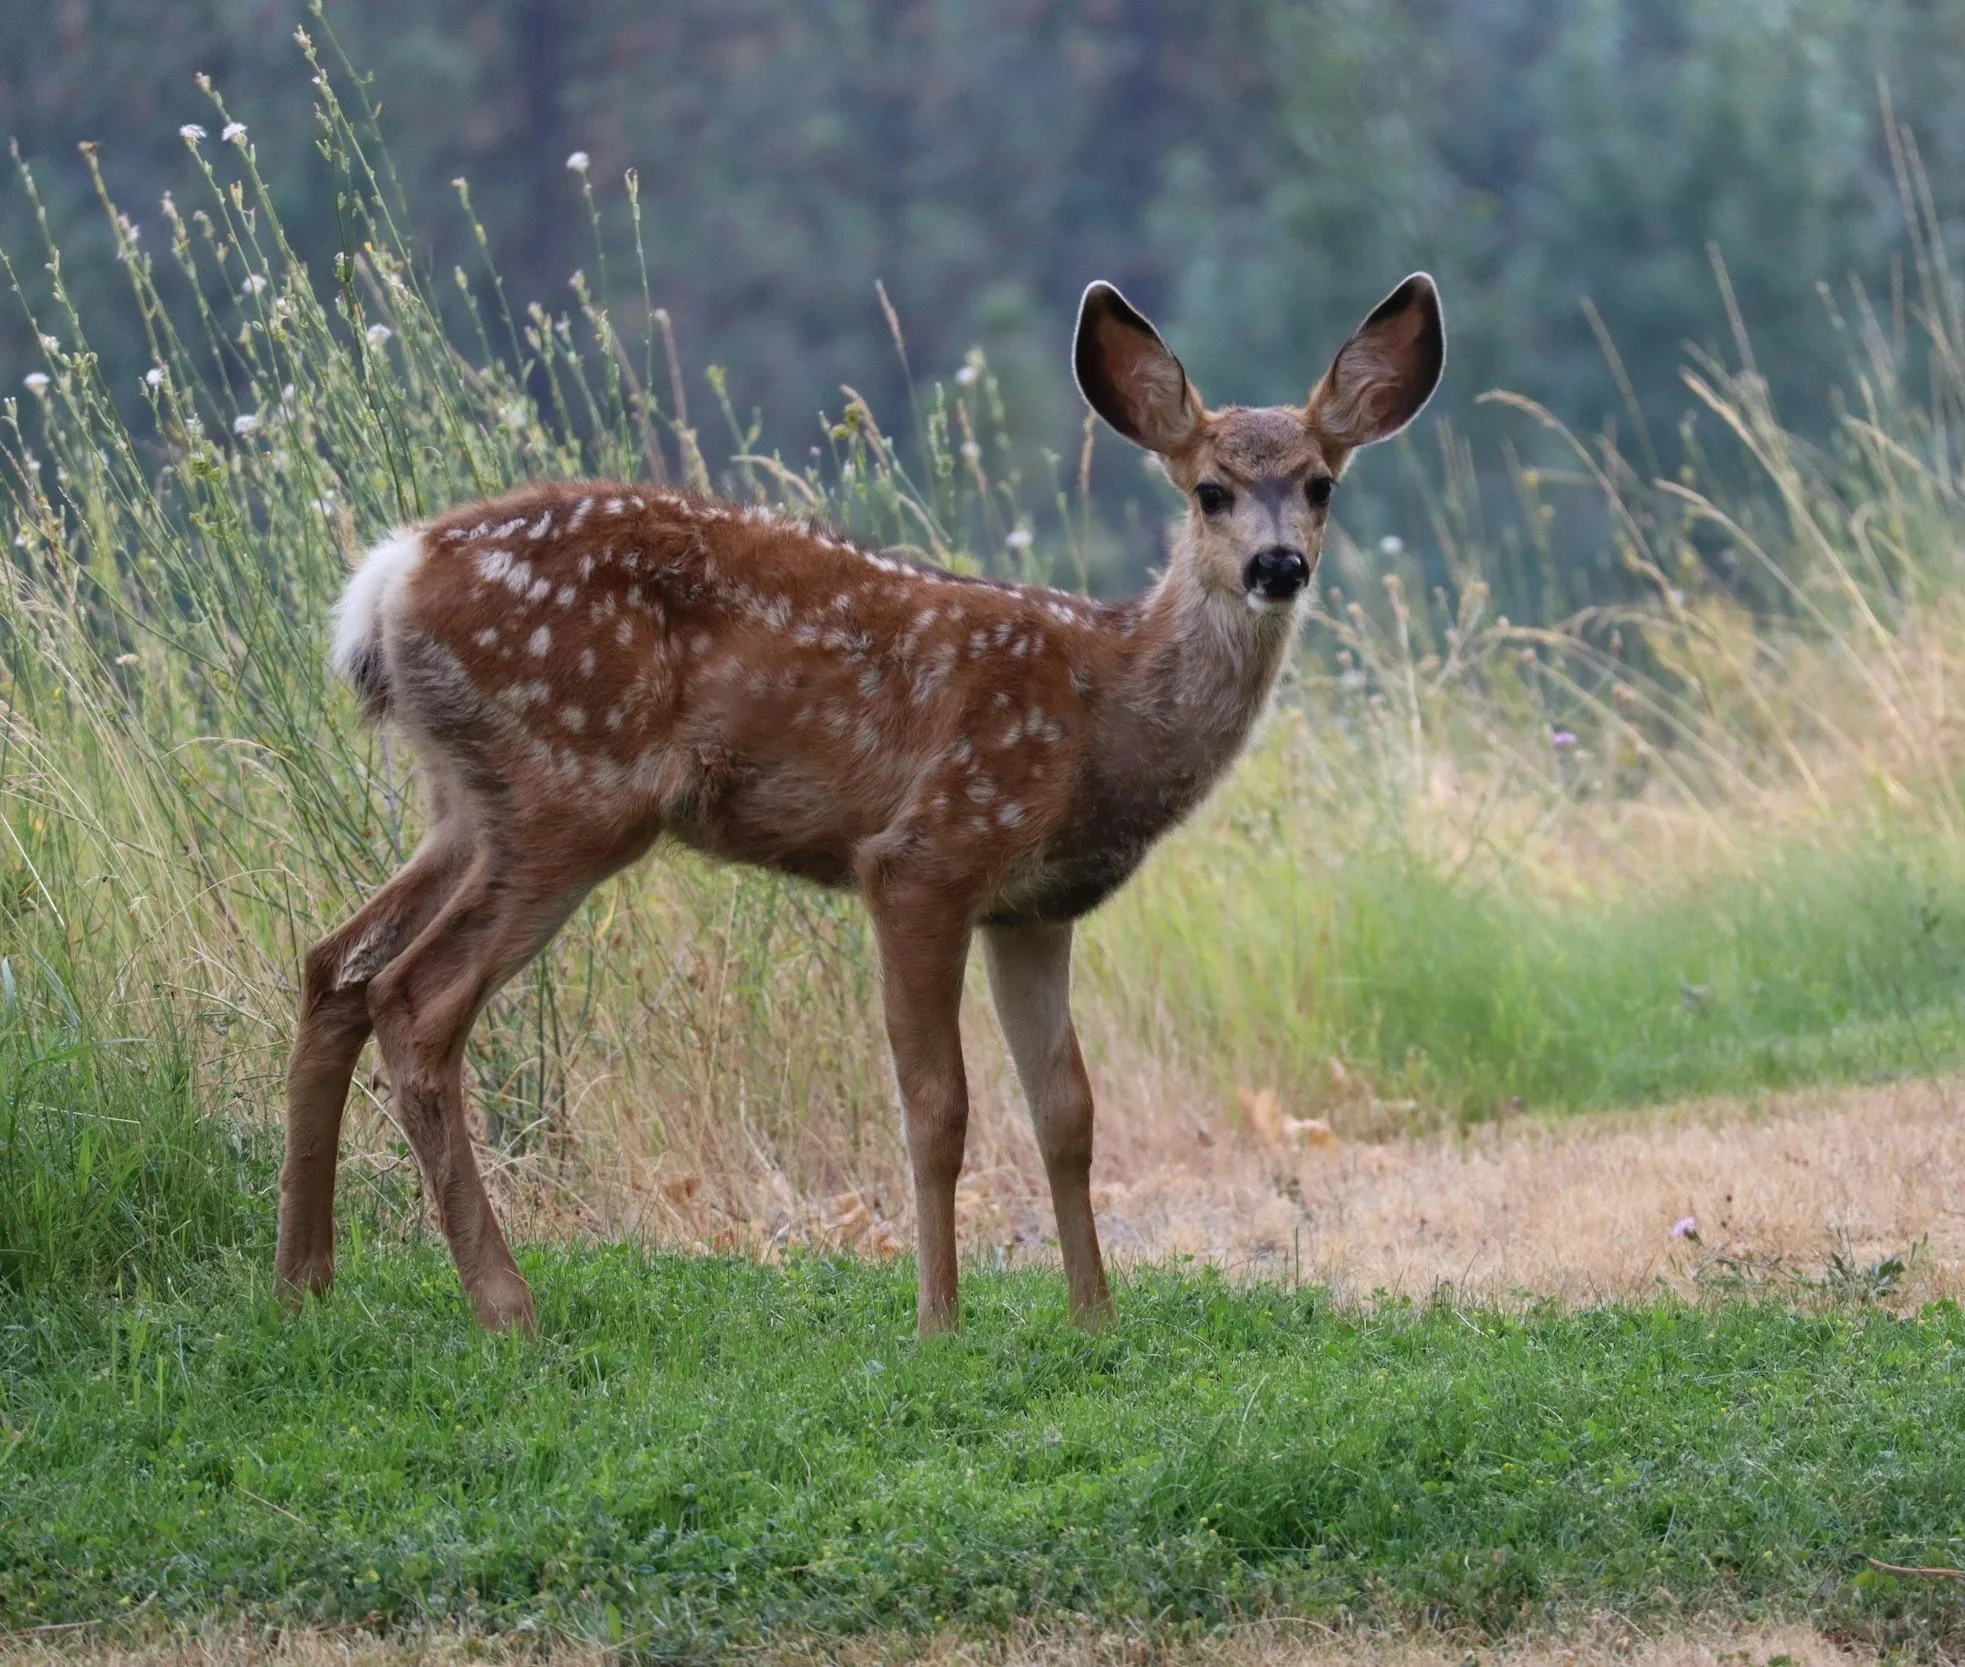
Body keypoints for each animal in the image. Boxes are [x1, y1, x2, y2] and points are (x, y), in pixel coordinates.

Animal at [275, 273, 1444, 1337]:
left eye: (1320, 483)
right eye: (1209, 489)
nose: (1277, 565)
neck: (1103, 711)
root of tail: (387, 578)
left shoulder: (1033, 906)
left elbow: (1065, 1108)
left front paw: (1094, 1318)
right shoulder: (928, 852)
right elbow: (939, 1105)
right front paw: (939, 1320)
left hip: (468, 801)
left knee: (335, 965)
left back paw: (305, 1279)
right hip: (573, 787)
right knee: (417, 999)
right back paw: (506, 1305)